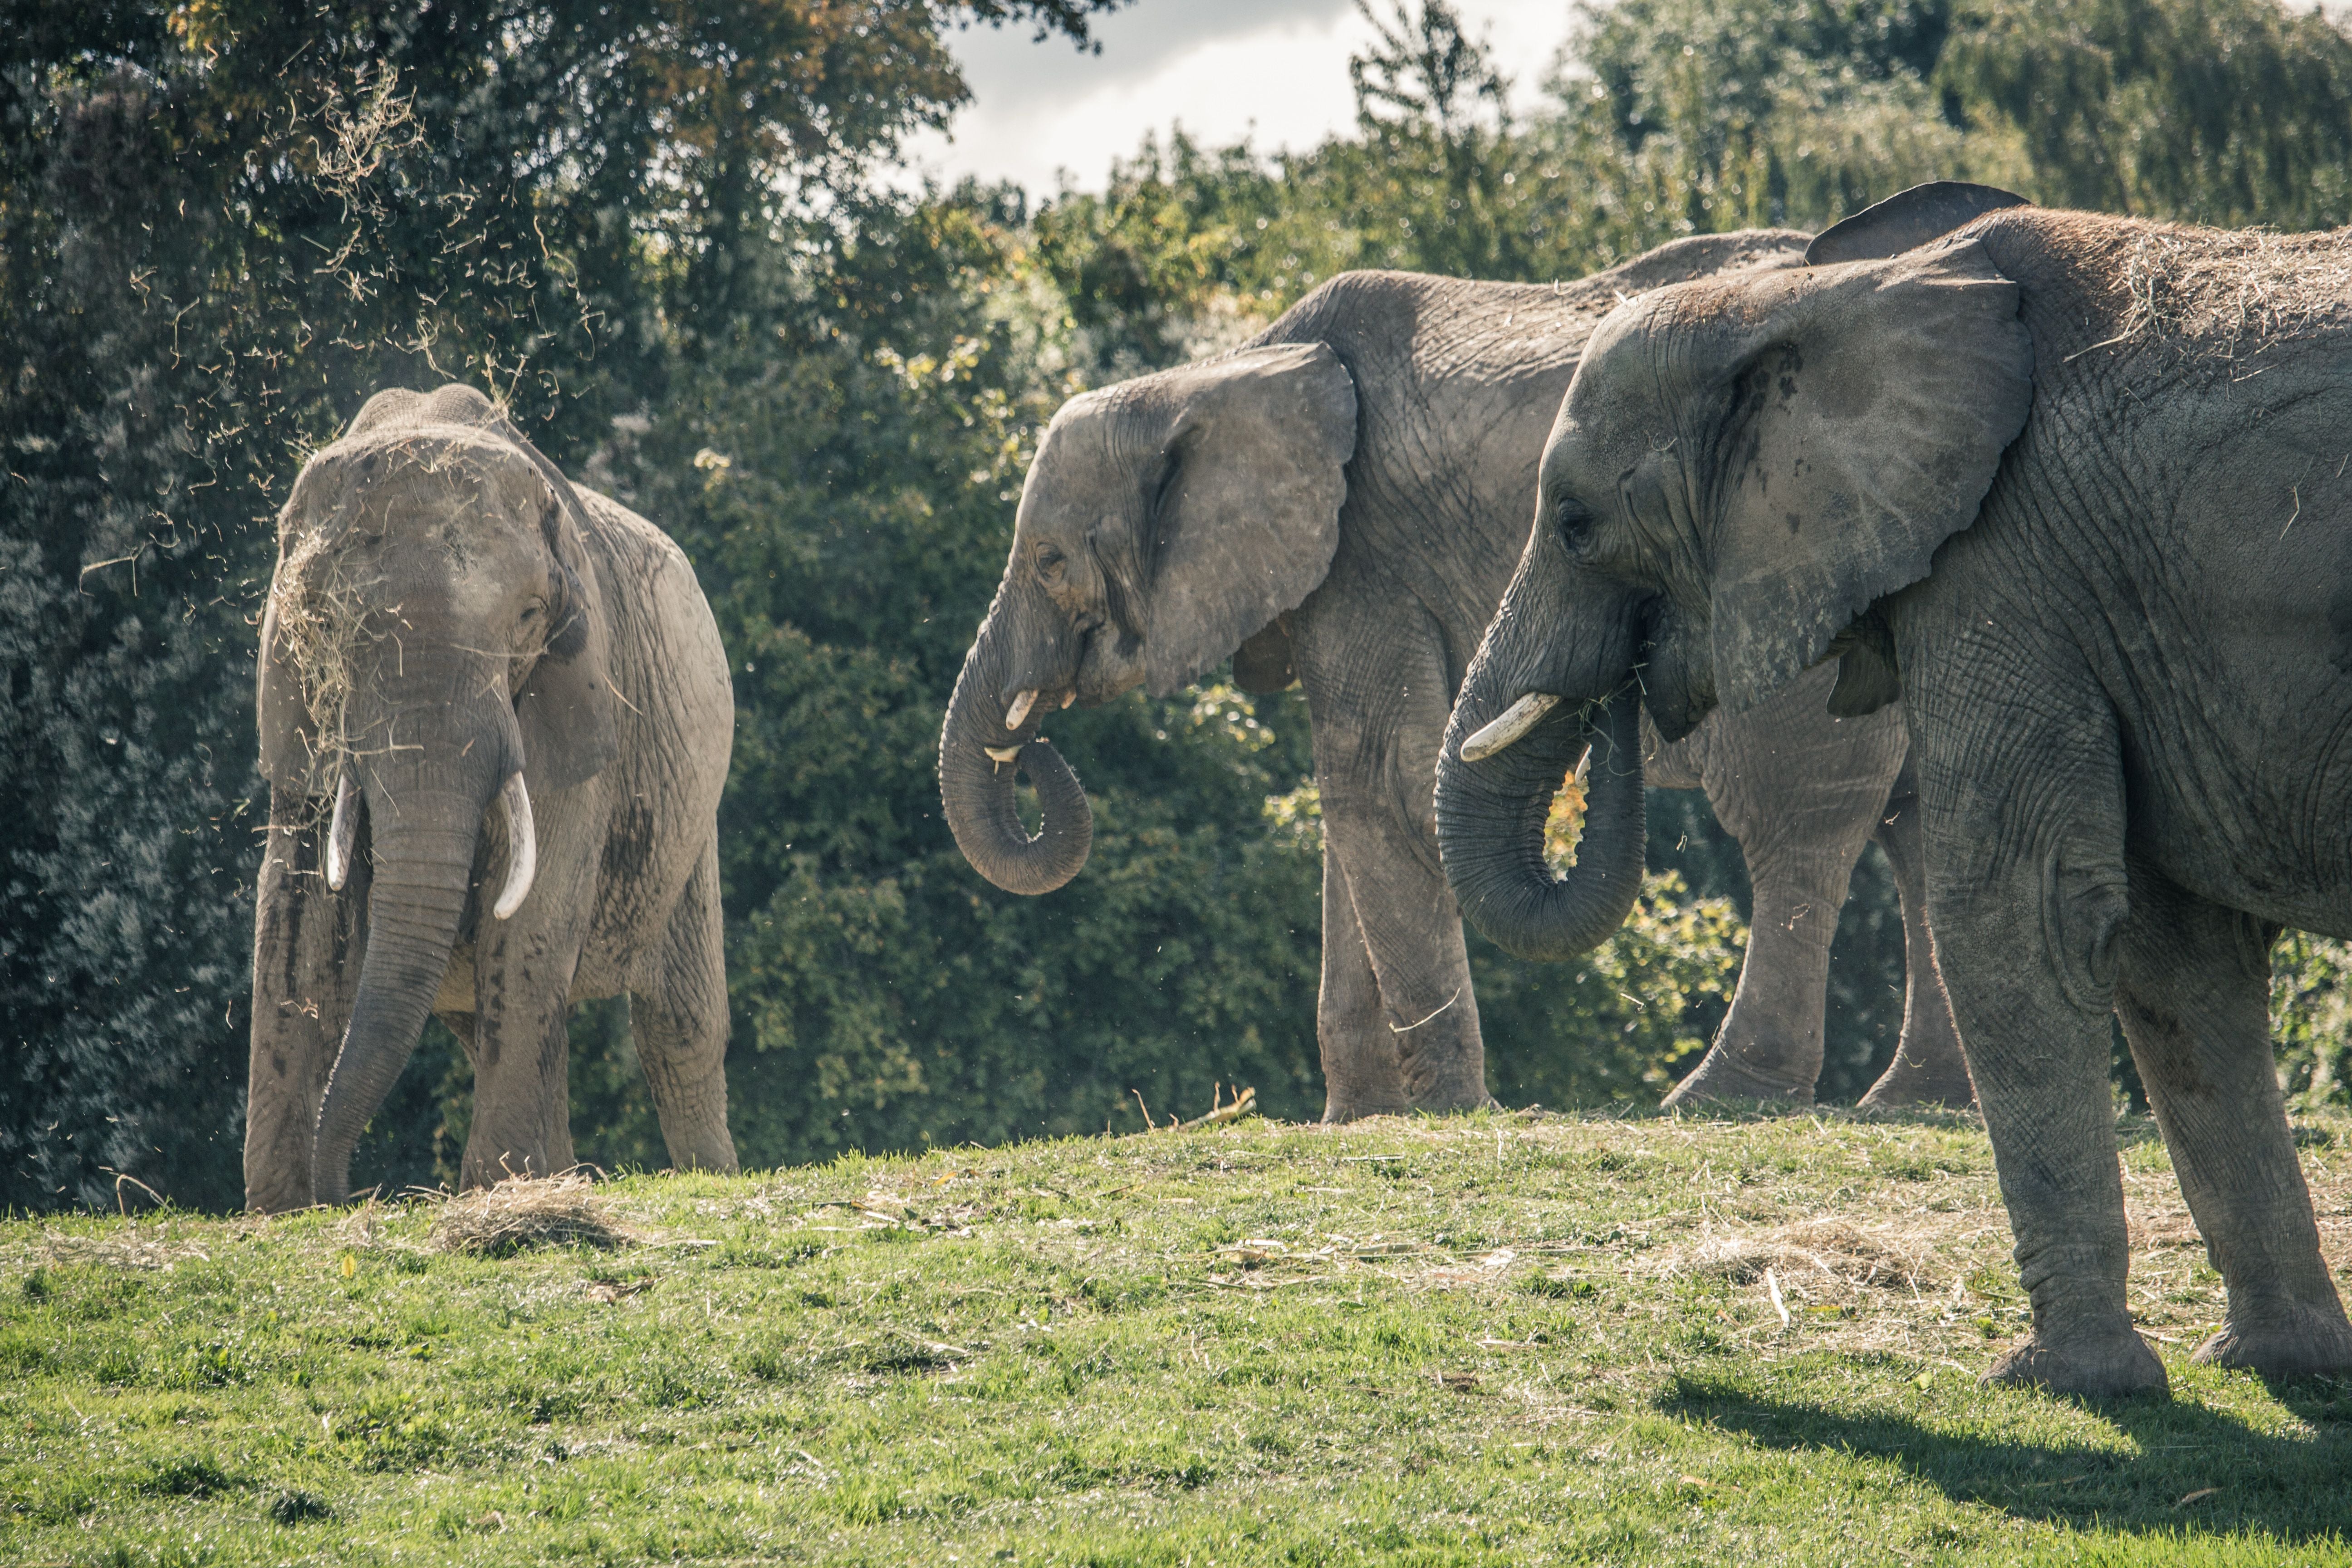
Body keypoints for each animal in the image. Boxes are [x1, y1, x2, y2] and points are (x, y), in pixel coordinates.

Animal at [248, 383, 734, 1213]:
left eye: (530, 617)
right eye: (328, 622)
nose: (351, 1192)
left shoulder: (580, 690)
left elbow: (537, 904)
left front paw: (499, 1188)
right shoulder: (300, 704)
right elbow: (296, 910)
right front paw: (281, 1209)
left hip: (693, 816)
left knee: (680, 1025)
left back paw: (707, 1176)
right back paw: (560, 1173)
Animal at [1430, 177, 2352, 1392]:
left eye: (1578, 523)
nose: (1632, 686)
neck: (1810, 298)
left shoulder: (2007, 562)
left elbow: (2018, 911)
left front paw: (2060, 1378)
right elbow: (2175, 951)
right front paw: (2279, 1364)